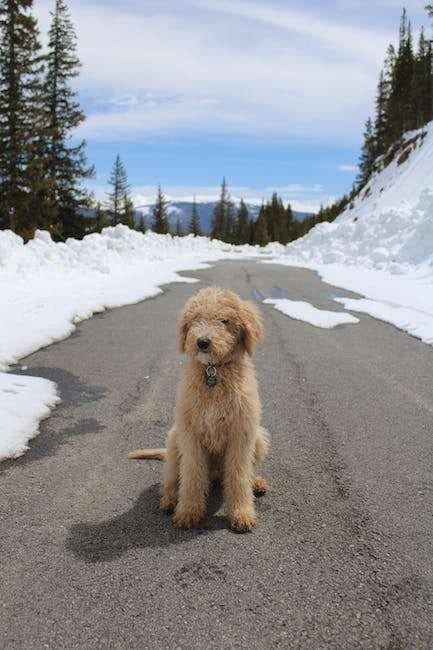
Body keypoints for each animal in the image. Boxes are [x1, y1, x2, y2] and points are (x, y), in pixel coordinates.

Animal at [129, 286, 270, 528]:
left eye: (224, 320)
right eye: (196, 318)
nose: (202, 342)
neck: (213, 372)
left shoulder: (242, 433)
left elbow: (239, 475)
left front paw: (241, 513)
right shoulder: (191, 433)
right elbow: (192, 474)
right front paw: (188, 511)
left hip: (259, 437)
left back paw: (256, 482)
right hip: (174, 439)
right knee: (171, 479)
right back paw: (170, 500)